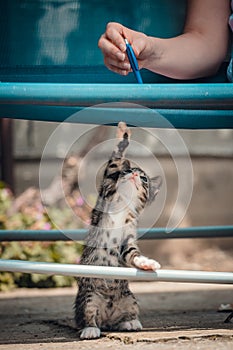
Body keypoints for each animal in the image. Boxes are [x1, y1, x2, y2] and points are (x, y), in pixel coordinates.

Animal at [75, 121, 162, 340]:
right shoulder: (107, 189)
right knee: (88, 316)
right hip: (89, 296)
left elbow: (132, 254)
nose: (133, 174)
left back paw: (130, 322)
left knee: (124, 316)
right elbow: (113, 162)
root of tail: (106, 316)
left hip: (129, 297)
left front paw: (146, 263)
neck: (123, 204)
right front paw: (123, 135)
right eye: (127, 172)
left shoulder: (127, 239)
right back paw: (90, 329)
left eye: (144, 179)